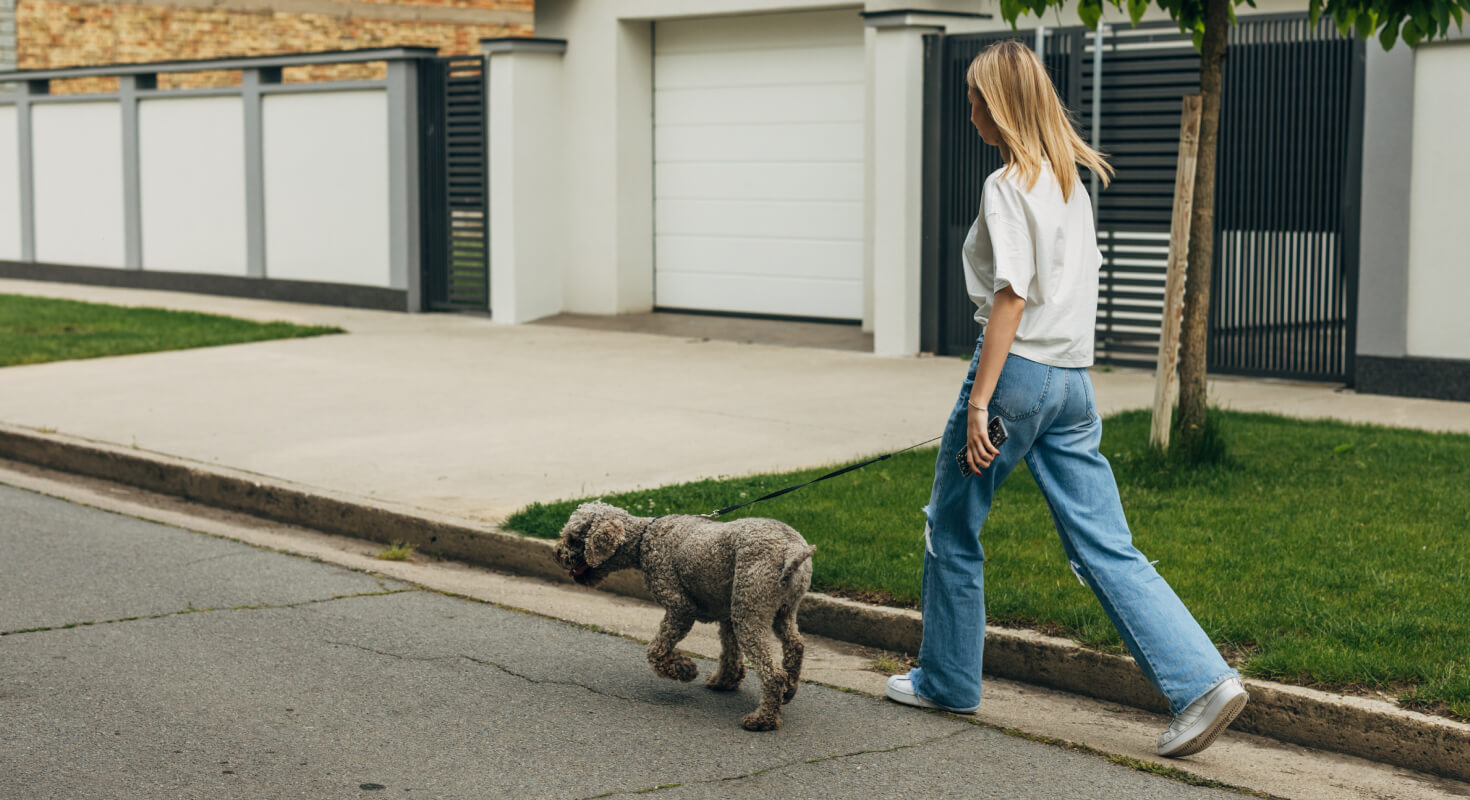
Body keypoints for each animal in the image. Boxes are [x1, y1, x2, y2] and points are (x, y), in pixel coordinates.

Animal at [552, 502, 817, 735]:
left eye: (572, 538)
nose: (556, 553)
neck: (644, 539)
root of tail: (792, 549)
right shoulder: (727, 613)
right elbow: (730, 653)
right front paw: (724, 681)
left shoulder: (680, 608)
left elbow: (656, 651)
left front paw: (684, 669)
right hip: (779, 611)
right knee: (795, 646)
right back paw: (789, 690)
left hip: (749, 610)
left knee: (772, 673)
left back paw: (763, 719)